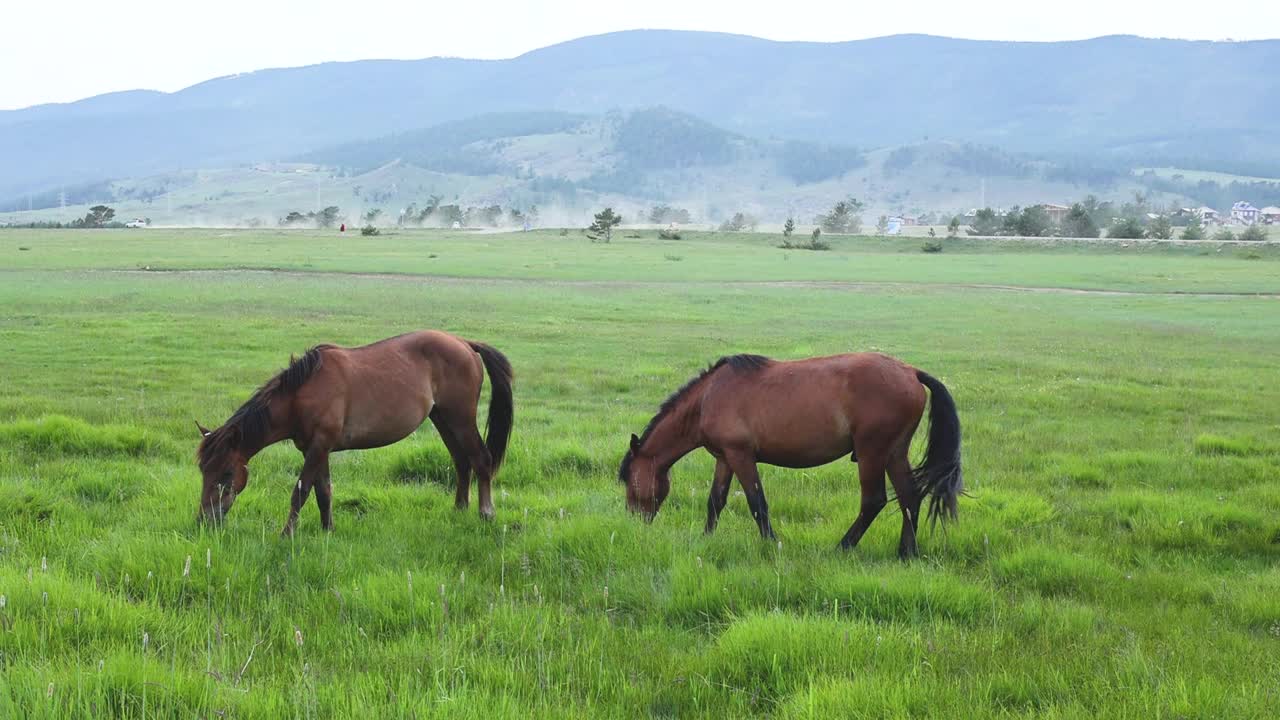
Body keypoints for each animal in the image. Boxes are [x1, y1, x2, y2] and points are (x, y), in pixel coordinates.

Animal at [192, 330, 512, 532]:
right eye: (204, 471)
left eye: (226, 473)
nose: (205, 520)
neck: (301, 395)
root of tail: (465, 344)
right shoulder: (315, 448)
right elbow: (323, 491)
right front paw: (327, 530)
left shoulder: (320, 445)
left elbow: (301, 491)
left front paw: (286, 534)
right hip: (443, 418)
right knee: (461, 462)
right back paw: (459, 510)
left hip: (461, 418)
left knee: (481, 460)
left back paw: (486, 514)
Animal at [616, 351, 962, 558]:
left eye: (630, 481)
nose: (634, 520)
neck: (707, 398)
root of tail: (911, 372)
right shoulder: (724, 458)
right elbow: (715, 501)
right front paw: (706, 538)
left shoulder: (741, 456)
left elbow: (757, 503)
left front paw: (771, 543)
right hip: (894, 452)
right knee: (910, 496)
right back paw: (906, 552)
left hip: (871, 453)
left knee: (874, 501)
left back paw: (842, 547)